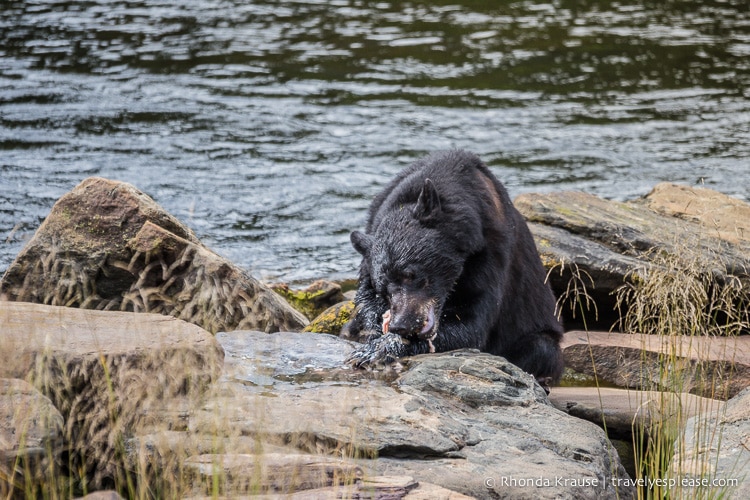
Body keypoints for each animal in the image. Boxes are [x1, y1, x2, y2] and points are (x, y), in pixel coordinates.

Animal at [346, 148, 564, 386]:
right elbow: (365, 300)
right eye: (384, 289)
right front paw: (374, 337)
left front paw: (380, 349)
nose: (400, 324)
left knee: (540, 347)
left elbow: (472, 321)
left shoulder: (489, 251)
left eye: (412, 274)